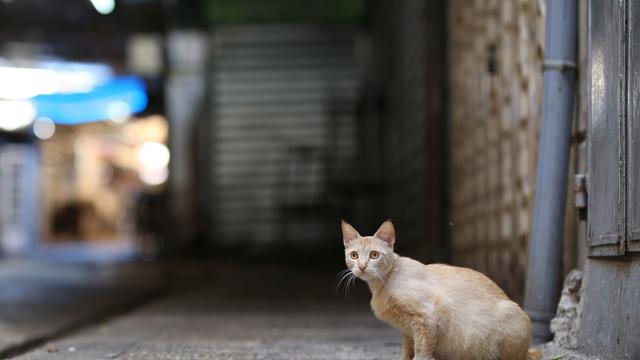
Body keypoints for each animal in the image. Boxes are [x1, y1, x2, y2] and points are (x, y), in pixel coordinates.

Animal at [340, 219, 536, 360]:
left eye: (374, 255)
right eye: (354, 255)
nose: (362, 266)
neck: (381, 285)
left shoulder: (426, 318)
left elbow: (422, 351)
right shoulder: (408, 331)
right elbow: (407, 351)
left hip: (510, 314)